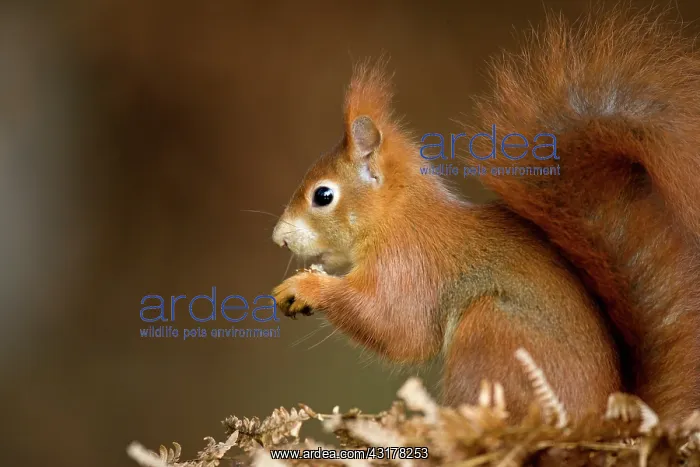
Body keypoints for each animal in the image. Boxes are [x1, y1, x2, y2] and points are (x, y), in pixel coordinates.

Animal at [271, 6, 700, 423]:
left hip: (490, 331)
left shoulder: (410, 265)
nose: (279, 237)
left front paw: (305, 287)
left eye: (323, 196)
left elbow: (398, 328)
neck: (398, 215)